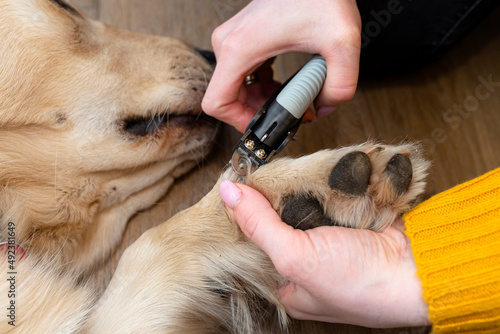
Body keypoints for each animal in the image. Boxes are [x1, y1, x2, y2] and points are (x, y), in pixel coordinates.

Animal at [0, 0, 430, 334]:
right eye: (65, 6)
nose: (209, 54)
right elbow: (149, 244)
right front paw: (311, 187)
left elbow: (155, 238)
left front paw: (304, 184)